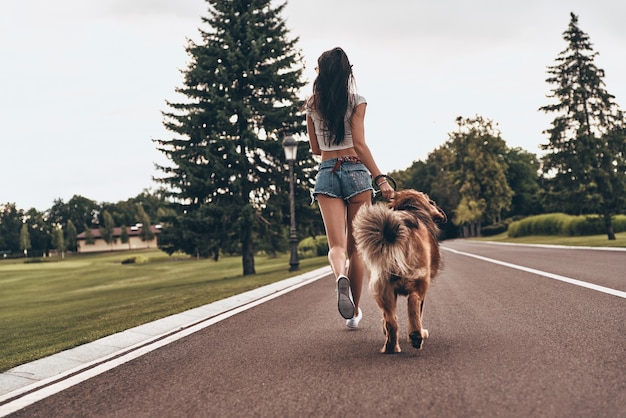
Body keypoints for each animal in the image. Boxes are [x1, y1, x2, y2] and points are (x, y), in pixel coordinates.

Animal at [352, 189, 444, 352]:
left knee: (391, 321)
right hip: (419, 279)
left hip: (383, 288)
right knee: (413, 301)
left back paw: (390, 347)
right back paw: (416, 335)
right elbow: (420, 311)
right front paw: (422, 331)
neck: (412, 207)